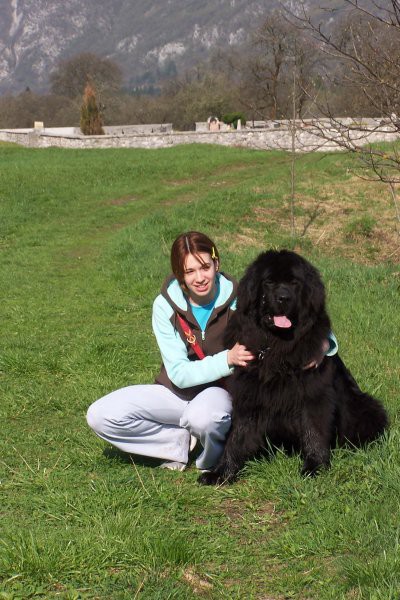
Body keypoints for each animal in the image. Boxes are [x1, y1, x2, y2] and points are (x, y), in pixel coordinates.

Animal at [199, 251, 388, 486]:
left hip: (367, 407)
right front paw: (221, 472)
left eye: (294, 283)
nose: (283, 298)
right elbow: (237, 435)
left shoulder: (313, 394)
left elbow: (314, 431)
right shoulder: (251, 395)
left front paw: (315, 467)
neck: (276, 346)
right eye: (269, 282)